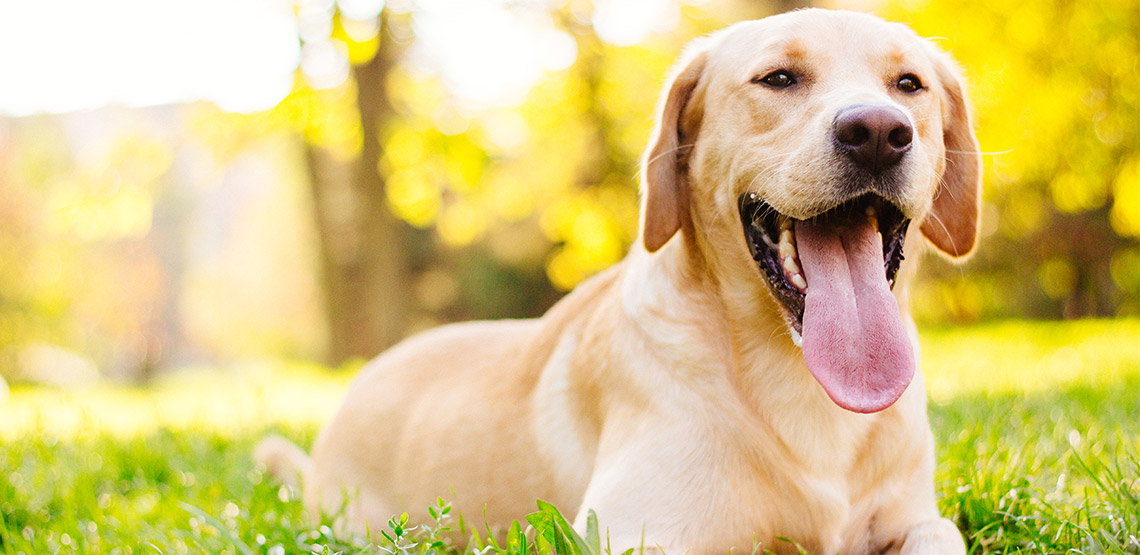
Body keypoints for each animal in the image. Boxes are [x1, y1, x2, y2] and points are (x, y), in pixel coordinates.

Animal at [256, 9, 980, 555]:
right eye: (779, 78)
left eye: (909, 84)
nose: (878, 131)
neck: (799, 374)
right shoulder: (635, 532)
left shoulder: (916, 517)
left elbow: (939, 534)